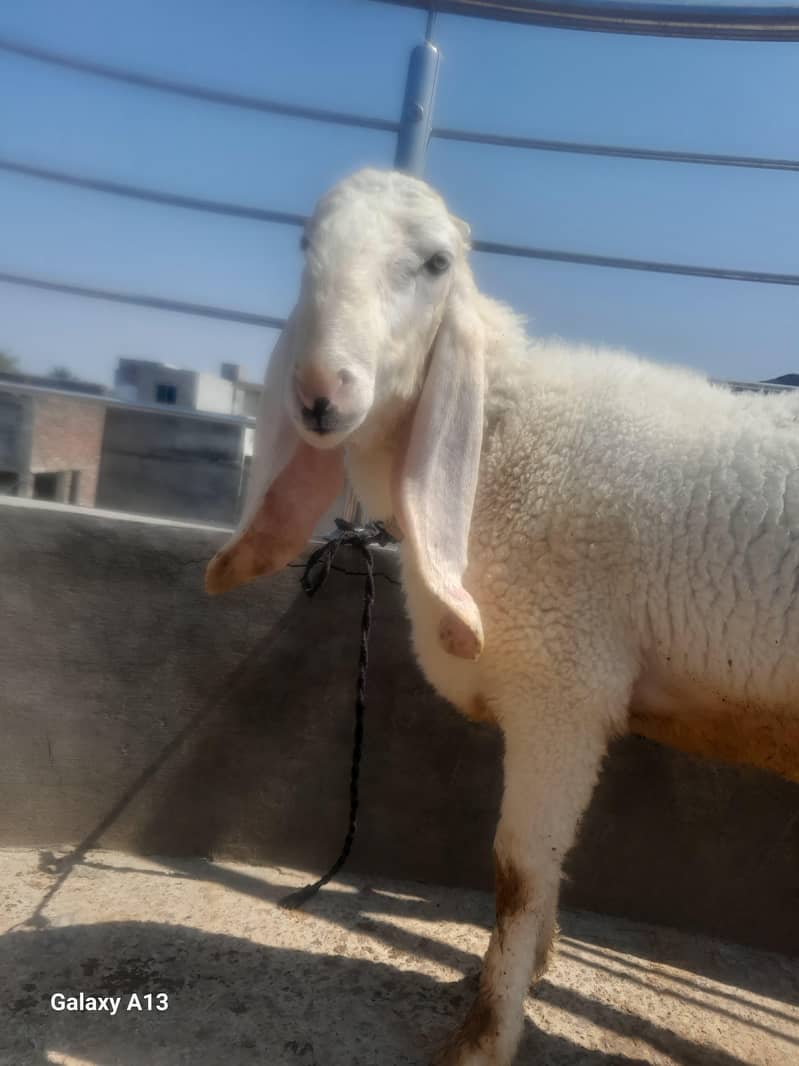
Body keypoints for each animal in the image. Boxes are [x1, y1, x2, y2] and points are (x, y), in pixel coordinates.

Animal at [206, 167, 799, 1066]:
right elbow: (544, 869)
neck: (496, 440)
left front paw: (486, 1034)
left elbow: (517, 873)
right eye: (306, 244)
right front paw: (526, 971)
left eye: (436, 263)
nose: (318, 394)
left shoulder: (563, 682)